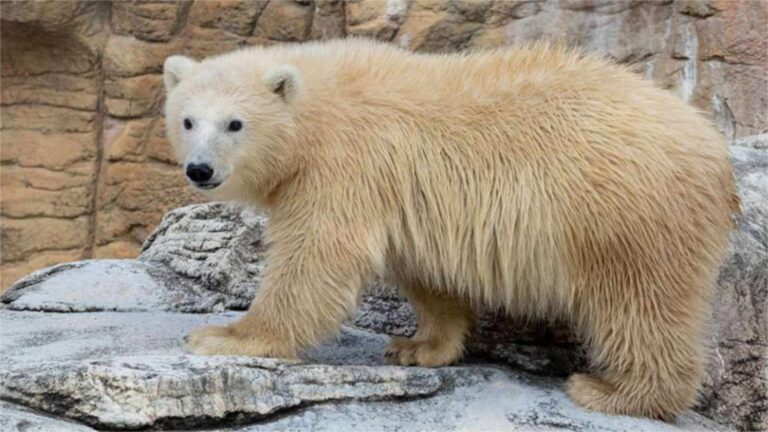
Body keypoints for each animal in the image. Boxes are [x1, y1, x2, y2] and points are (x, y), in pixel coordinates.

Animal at [163, 39, 738, 420]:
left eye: (235, 123)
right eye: (187, 120)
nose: (200, 170)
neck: (317, 108)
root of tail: (712, 145)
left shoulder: (345, 164)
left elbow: (315, 256)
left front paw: (226, 336)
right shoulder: (407, 197)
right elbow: (428, 274)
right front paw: (418, 347)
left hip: (624, 209)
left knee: (641, 303)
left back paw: (614, 392)